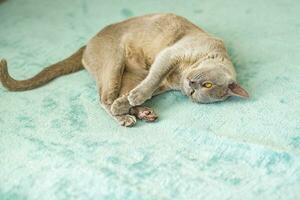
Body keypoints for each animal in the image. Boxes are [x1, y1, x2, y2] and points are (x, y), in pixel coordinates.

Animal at [0, 13, 248, 126]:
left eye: (198, 94)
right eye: (206, 84)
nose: (191, 87)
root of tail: (87, 44)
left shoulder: (163, 82)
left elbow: (145, 89)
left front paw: (130, 103)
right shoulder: (169, 56)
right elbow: (149, 83)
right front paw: (131, 102)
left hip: (131, 73)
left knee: (114, 96)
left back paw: (141, 112)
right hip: (114, 62)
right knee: (104, 99)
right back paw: (125, 116)